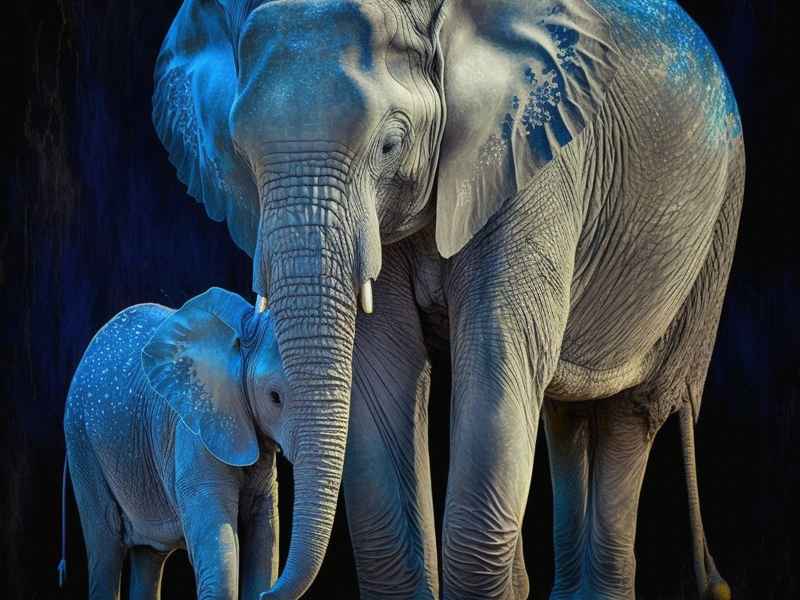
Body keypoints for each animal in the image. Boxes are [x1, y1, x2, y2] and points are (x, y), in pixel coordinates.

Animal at [63, 287, 289, 599]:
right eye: (275, 397)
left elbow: (264, 538)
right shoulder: (192, 434)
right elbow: (220, 551)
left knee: (148, 555)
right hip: (81, 440)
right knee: (105, 545)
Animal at [151, 0, 744, 598]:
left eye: (390, 144)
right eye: (240, 154)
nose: (268, 589)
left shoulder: (533, 154)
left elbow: (495, 355)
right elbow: (382, 368)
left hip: (716, 229)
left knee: (632, 411)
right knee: (566, 412)